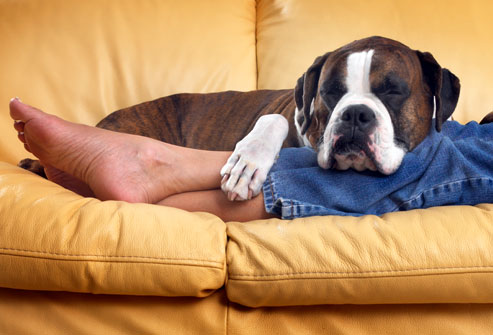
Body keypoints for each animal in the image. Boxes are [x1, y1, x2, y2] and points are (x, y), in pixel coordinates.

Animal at [20, 37, 466, 202]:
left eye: (393, 90)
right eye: (330, 91)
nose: (355, 114)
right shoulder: (285, 114)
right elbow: (272, 120)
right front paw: (248, 164)